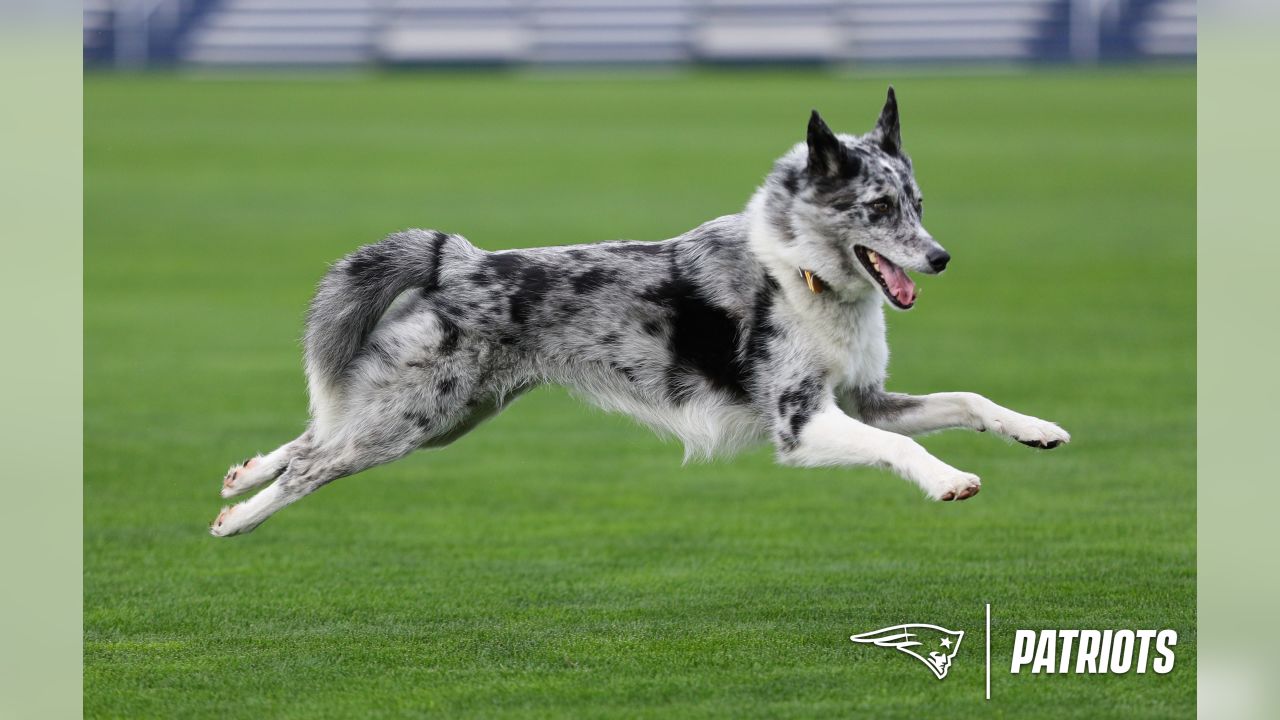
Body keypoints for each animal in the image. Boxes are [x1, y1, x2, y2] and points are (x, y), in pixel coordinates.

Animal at [212, 87, 1070, 535]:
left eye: (920, 204)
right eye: (879, 208)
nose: (941, 258)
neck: (800, 276)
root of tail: (460, 256)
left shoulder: (865, 399)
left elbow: (969, 400)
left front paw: (1037, 430)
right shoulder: (802, 424)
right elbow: (903, 449)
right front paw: (949, 481)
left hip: (445, 417)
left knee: (316, 431)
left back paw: (242, 475)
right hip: (415, 417)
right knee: (319, 459)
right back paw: (238, 519)